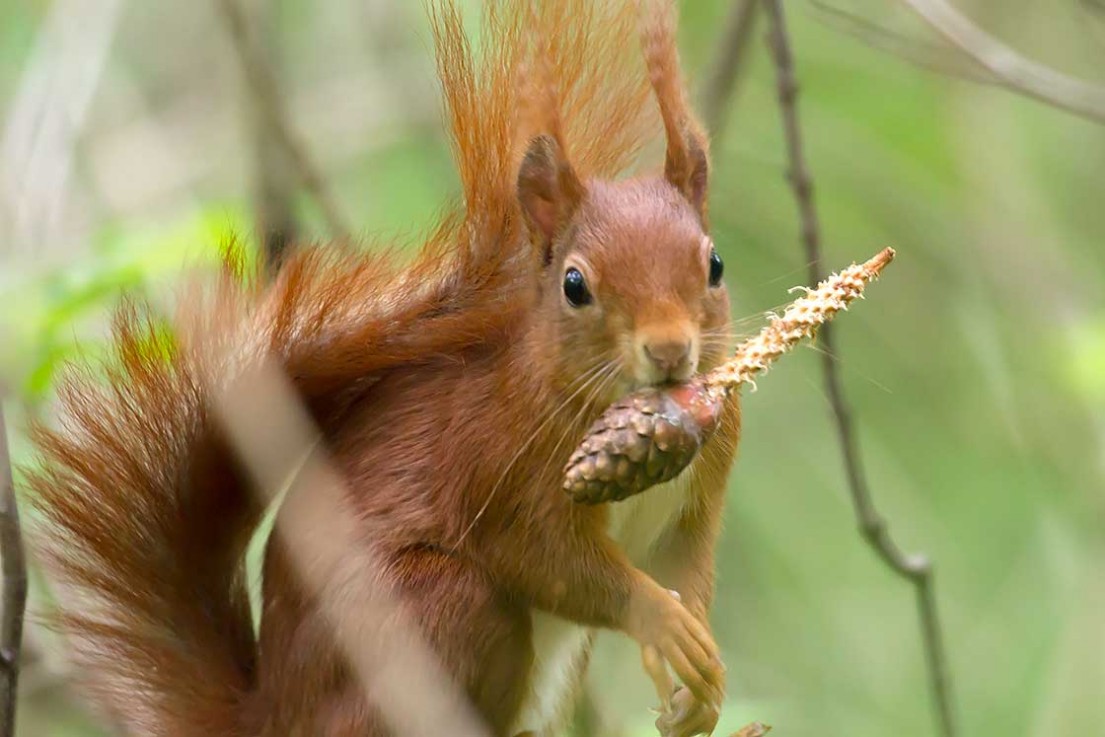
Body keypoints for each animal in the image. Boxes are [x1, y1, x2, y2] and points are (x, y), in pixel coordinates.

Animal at [25, 1, 738, 737]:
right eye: (575, 285)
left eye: (714, 263)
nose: (669, 350)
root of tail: (273, 717)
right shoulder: (505, 466)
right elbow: (547, 559)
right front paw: (659, 619)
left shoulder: (702, 489)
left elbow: (689, 563)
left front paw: (699, 677)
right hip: (432, 610)